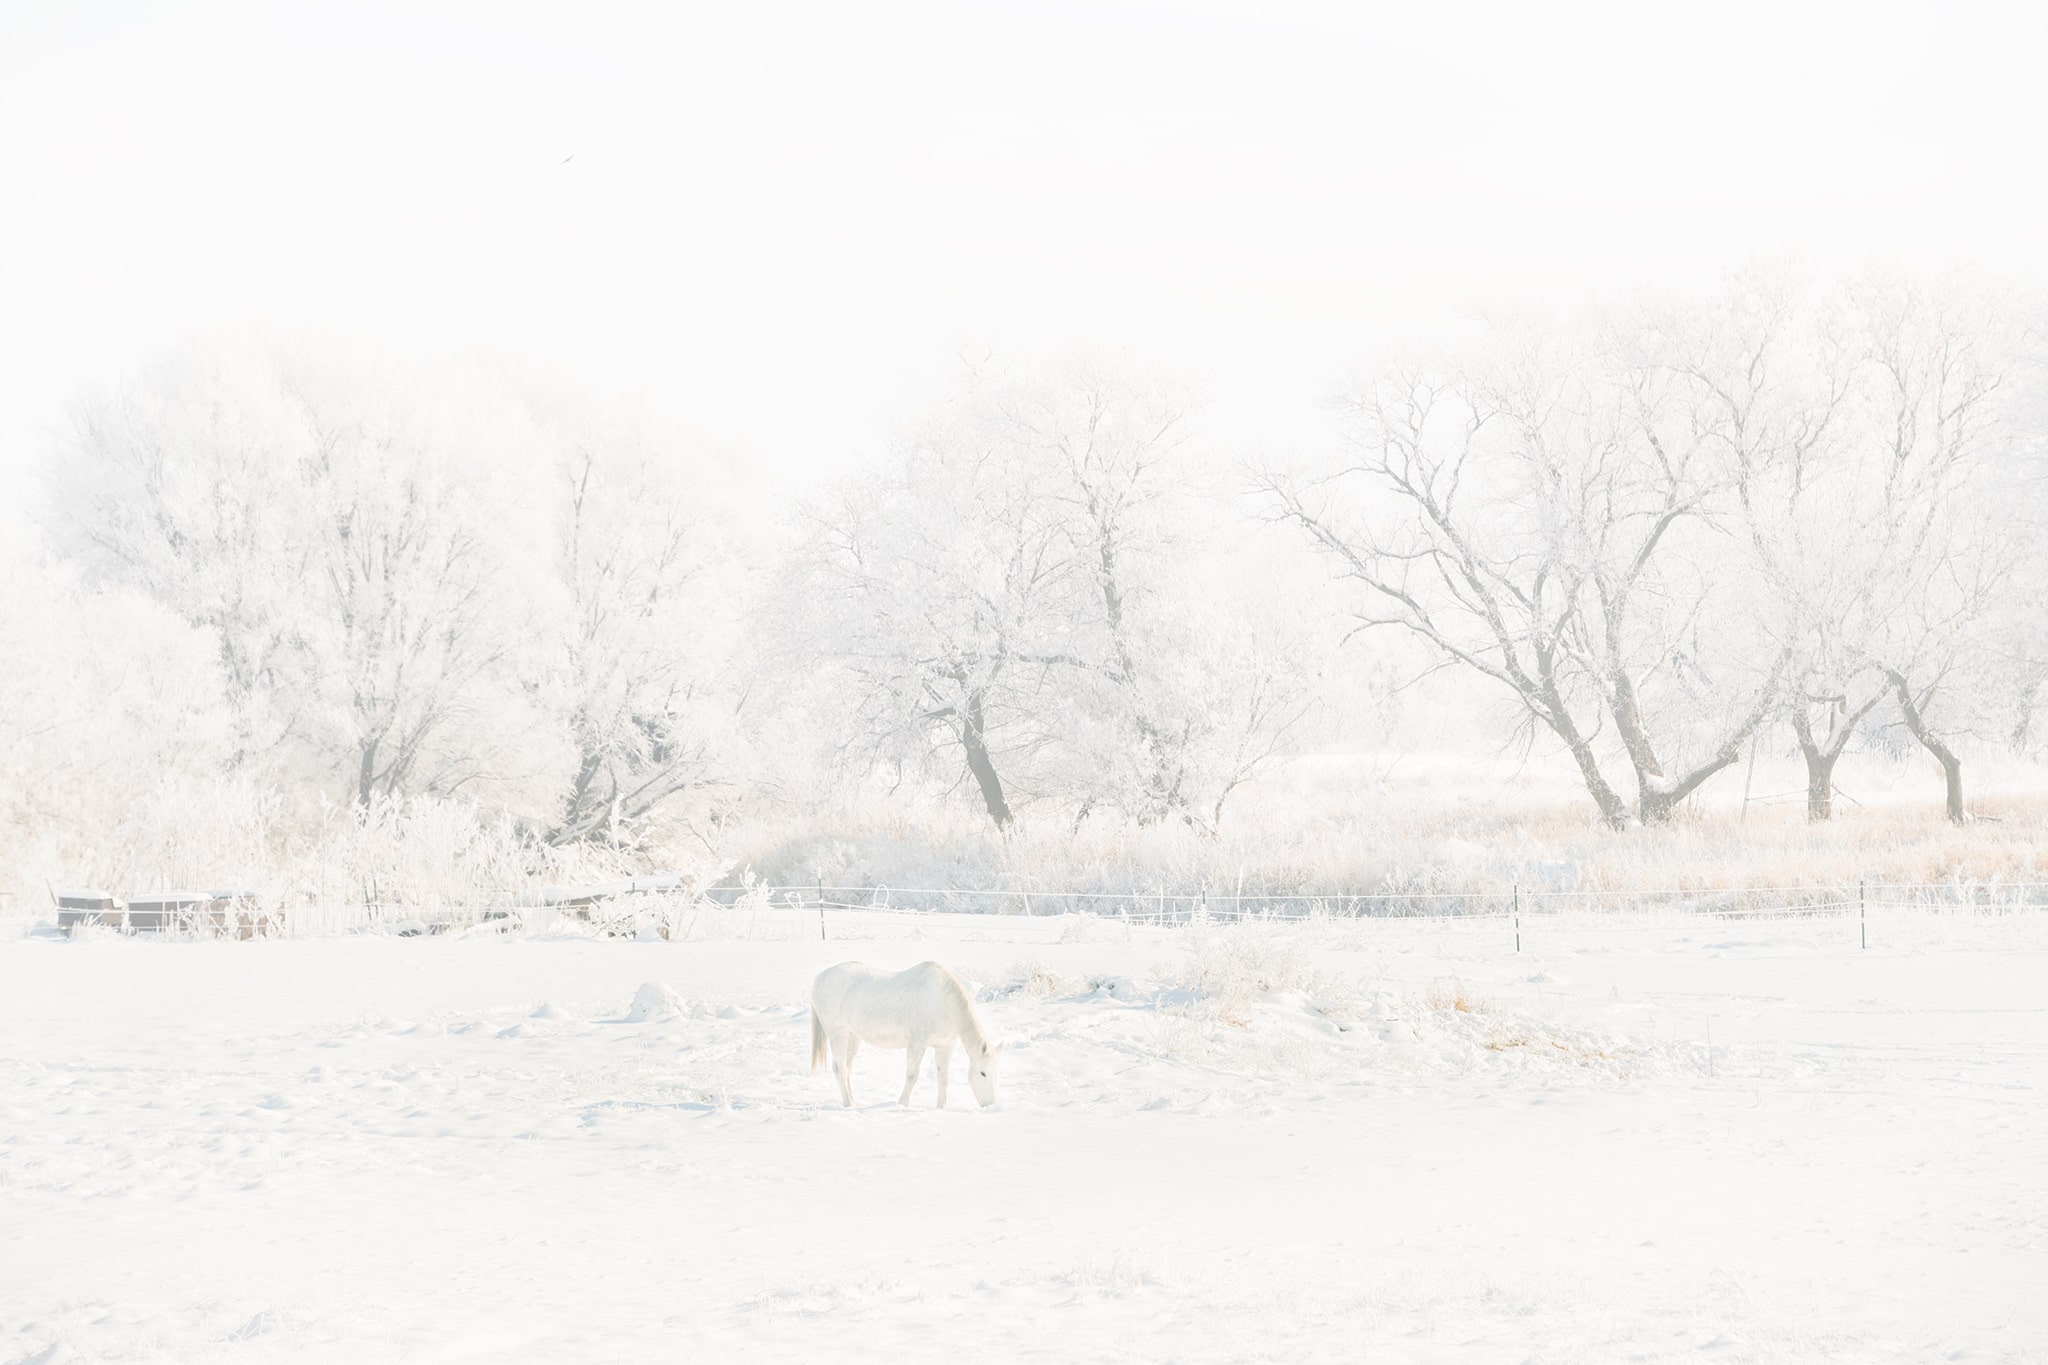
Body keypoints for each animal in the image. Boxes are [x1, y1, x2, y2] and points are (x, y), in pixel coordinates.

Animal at [815, 961, 1007, 1113]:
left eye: (998, 1073)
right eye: (983, 1073)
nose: (991, 1105)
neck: (943, 1002)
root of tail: (820, 977)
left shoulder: (945, 1046)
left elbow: (943, 1078)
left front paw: (941, 1107)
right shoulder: (917, 1044)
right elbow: (912, 1076)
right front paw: (902, 1105)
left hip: (853, 1036)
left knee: (847, 1068)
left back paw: (853, 1102)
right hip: (838, 1032)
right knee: (839, 1068)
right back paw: (848, 1105)